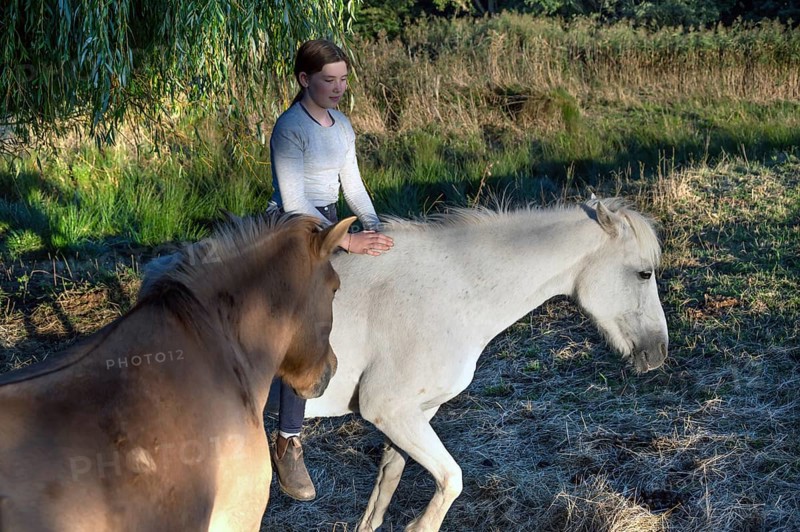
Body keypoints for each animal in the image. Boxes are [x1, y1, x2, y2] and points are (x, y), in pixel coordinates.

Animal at [304, 198, 669, 531]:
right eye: (644, 273)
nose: (659, 352)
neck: (448, 291)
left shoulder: (415, 413)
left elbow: (385, 485)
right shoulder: (388, 409)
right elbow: (452, 480)